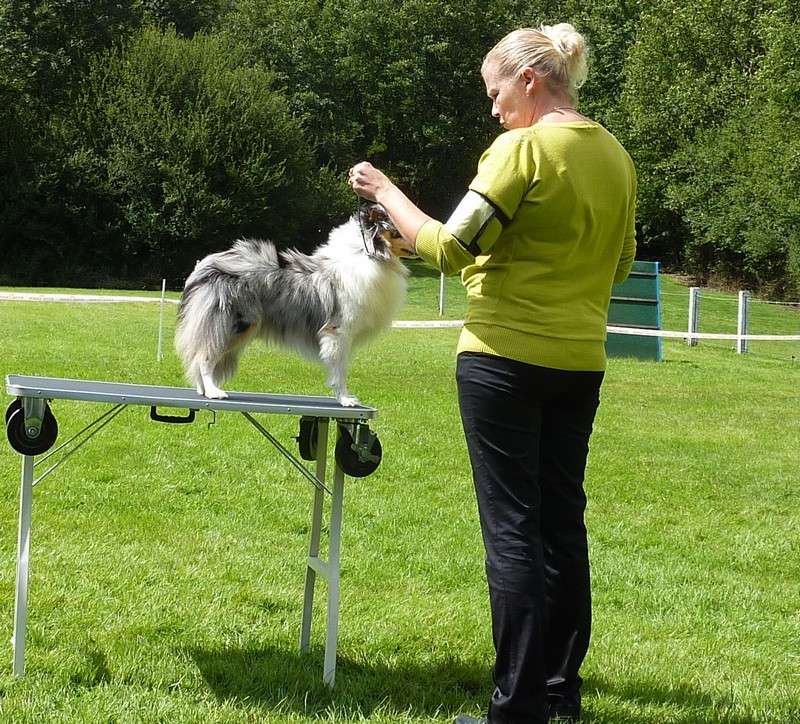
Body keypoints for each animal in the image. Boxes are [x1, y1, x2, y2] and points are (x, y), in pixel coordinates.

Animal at [177, 202, 410, 408]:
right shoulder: (338, 333)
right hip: (233, 324)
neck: (366, 254)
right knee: (204, 357)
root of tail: (203, 268)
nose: (415, 240)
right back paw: (213, 391)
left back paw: (203, 390)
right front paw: (345, 400)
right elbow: (340, 371)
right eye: (398, 232)